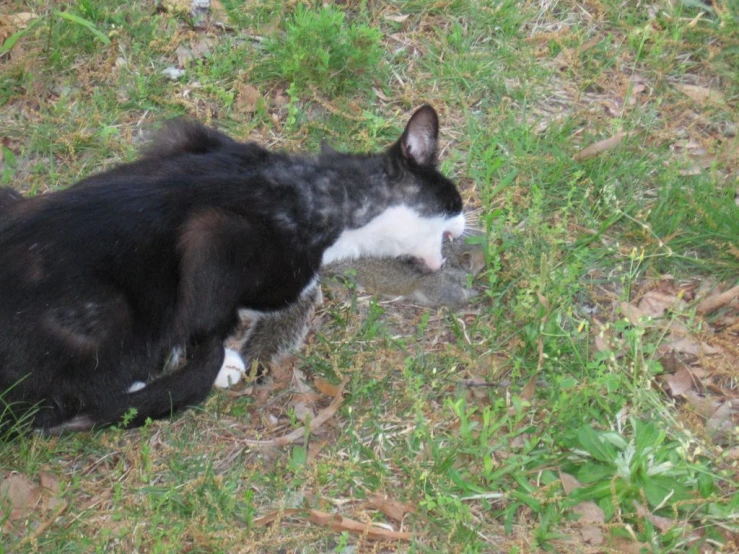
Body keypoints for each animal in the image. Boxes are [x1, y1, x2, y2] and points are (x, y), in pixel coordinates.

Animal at [0, 103, 462, 432]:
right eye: (455, 201)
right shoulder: (215, 234)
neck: (324, 190)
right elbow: (210, 312)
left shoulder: (187, 137)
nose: (466, 223)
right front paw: (221, 359)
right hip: (104, 313)